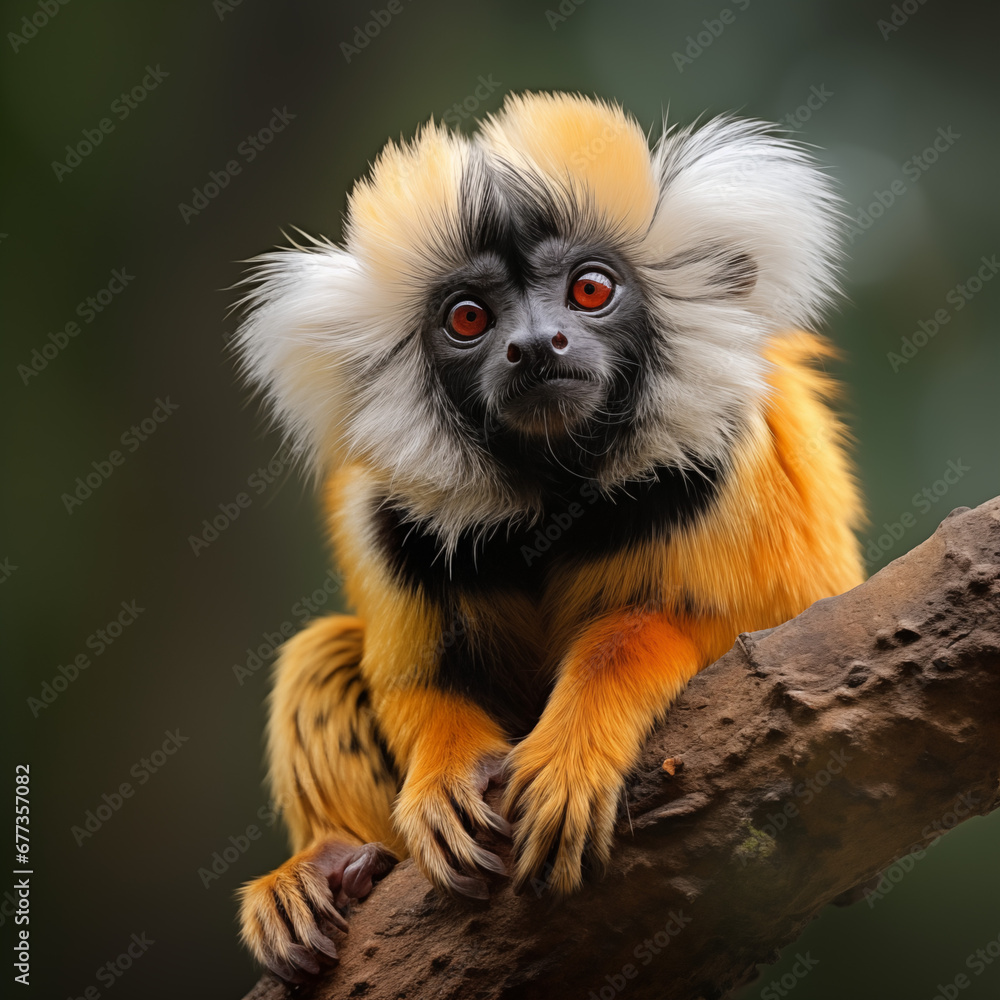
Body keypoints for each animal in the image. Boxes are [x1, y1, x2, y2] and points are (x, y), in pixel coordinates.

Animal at [232, 92, 864, 981]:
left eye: (590, 291)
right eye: (470, 317)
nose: (534, 347)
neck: (554, 491)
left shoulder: (729, 472)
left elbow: (716, 634)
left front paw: (576, 742)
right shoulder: (386, 517)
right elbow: (414, 681)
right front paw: (445, 773)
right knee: (324, 653)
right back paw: (333, 869)